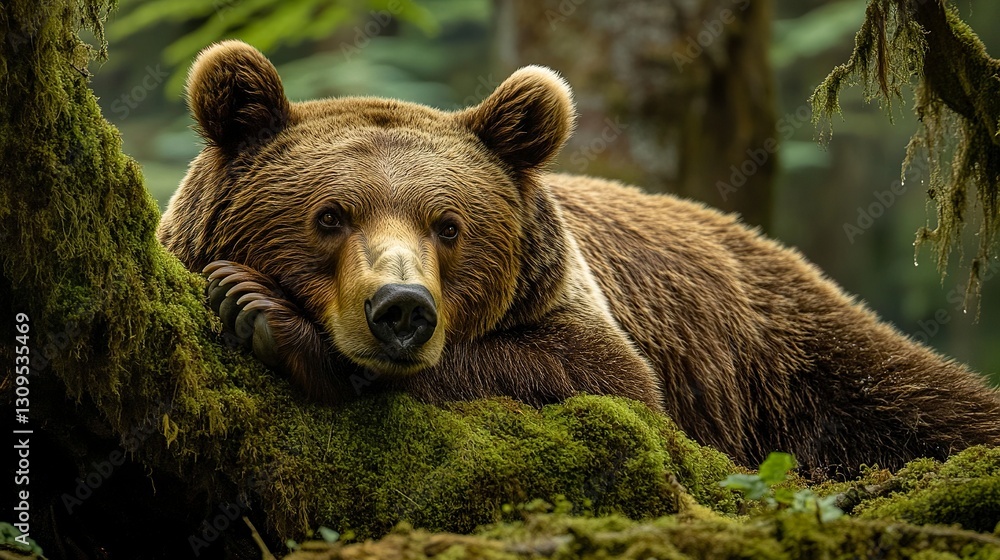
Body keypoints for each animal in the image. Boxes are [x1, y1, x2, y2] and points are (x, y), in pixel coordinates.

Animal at [159, 40, 1000, 475]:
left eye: (448, 225)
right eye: (329, 216)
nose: (401, 310)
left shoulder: (576, 299)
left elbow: (607, 379)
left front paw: (265, 313)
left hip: (791, 354)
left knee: (925, 402)